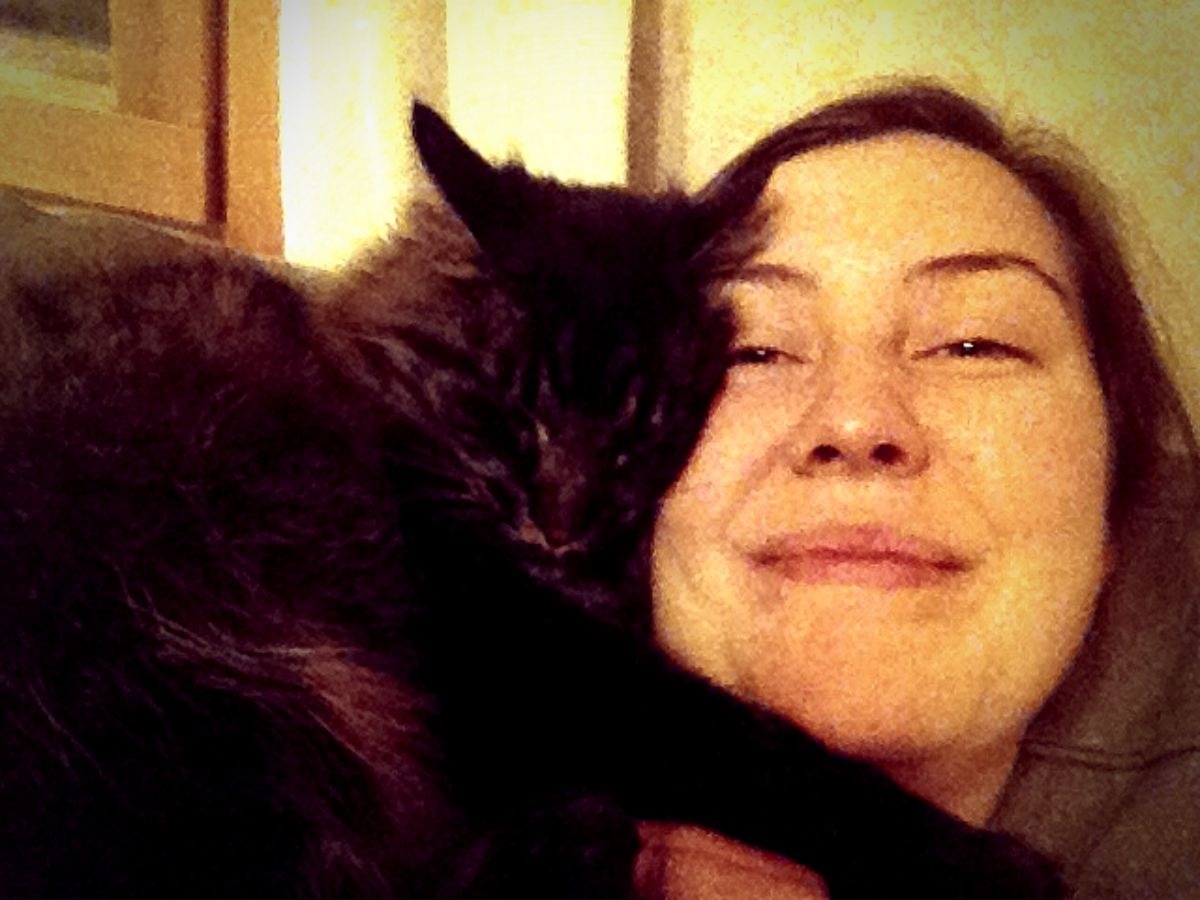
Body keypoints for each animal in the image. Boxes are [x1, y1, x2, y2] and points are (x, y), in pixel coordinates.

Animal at [0, 103, 1064, 899]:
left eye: (644, 423)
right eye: (507, 411)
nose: (564, 523)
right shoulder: (524, 660)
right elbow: (770, 755)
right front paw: (991, 866)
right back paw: (574, 836)